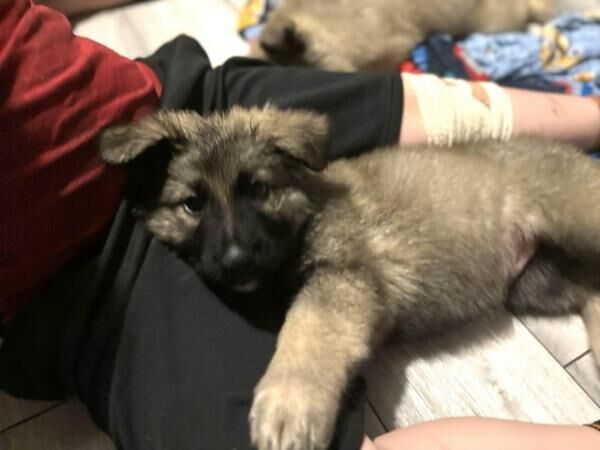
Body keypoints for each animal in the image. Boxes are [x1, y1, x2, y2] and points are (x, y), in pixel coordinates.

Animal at [98, 106, 600, 450]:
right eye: (192, 204)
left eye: (258, 189)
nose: (237, 260)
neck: (304, 216)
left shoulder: (343, 278)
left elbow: (306, 332)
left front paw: (289, 403)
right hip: (538, 282)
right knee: (593, 290)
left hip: (576, 221)